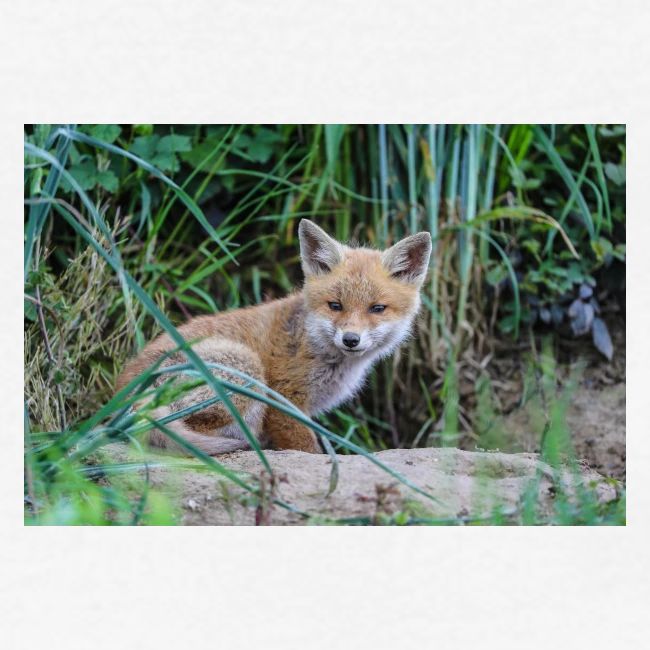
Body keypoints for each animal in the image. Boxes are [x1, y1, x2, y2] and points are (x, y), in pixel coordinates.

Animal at [116, 219, 432, 455]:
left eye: (377, 309)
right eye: (335, 306)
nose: (351, 339)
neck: (313, 344)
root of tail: (124, 394)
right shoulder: (284, 400)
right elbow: (307, 448)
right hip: (246, 369)